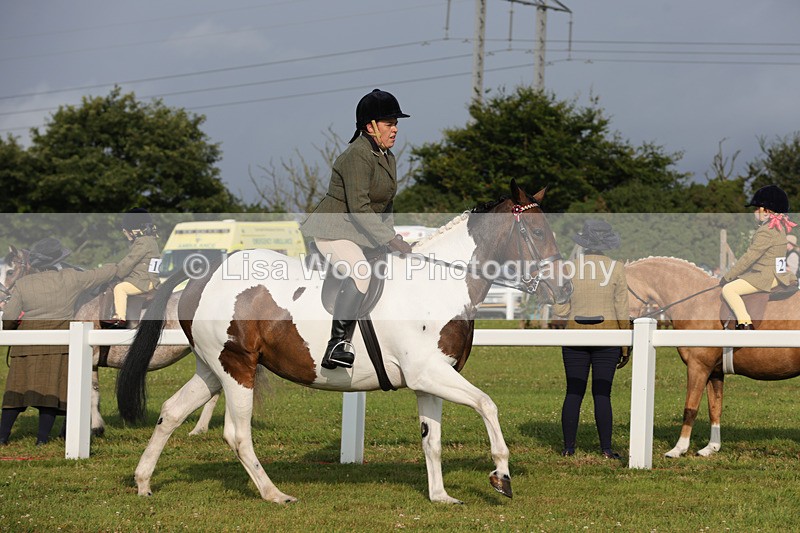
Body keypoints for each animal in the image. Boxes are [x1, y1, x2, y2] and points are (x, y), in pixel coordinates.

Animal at [1, 245, 219, 437]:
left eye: (10, 271)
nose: (4, 299)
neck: (81, 300)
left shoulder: (89, 357)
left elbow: (90, 394)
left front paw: (95, 427)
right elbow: (93, 394)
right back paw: (200, 428)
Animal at [115, 181, 572, 504]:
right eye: (536, 230)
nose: (564, 289)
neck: (438, 282)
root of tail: (203, 274)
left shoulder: (430, 379)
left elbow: (433, 439)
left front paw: (441, 496)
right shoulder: (430, 373)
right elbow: (487, 405)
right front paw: (501, 477)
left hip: (213, 368)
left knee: (172, 412)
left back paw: (143, 482)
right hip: (237, 367)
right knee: (237, 434)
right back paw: (274, 494)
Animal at [624, 256, 800, 458]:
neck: (696, 302)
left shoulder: (698, 367)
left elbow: (690, 408)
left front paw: (679, 448)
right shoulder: (714, 371)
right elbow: (714, 408)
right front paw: (711, 447)